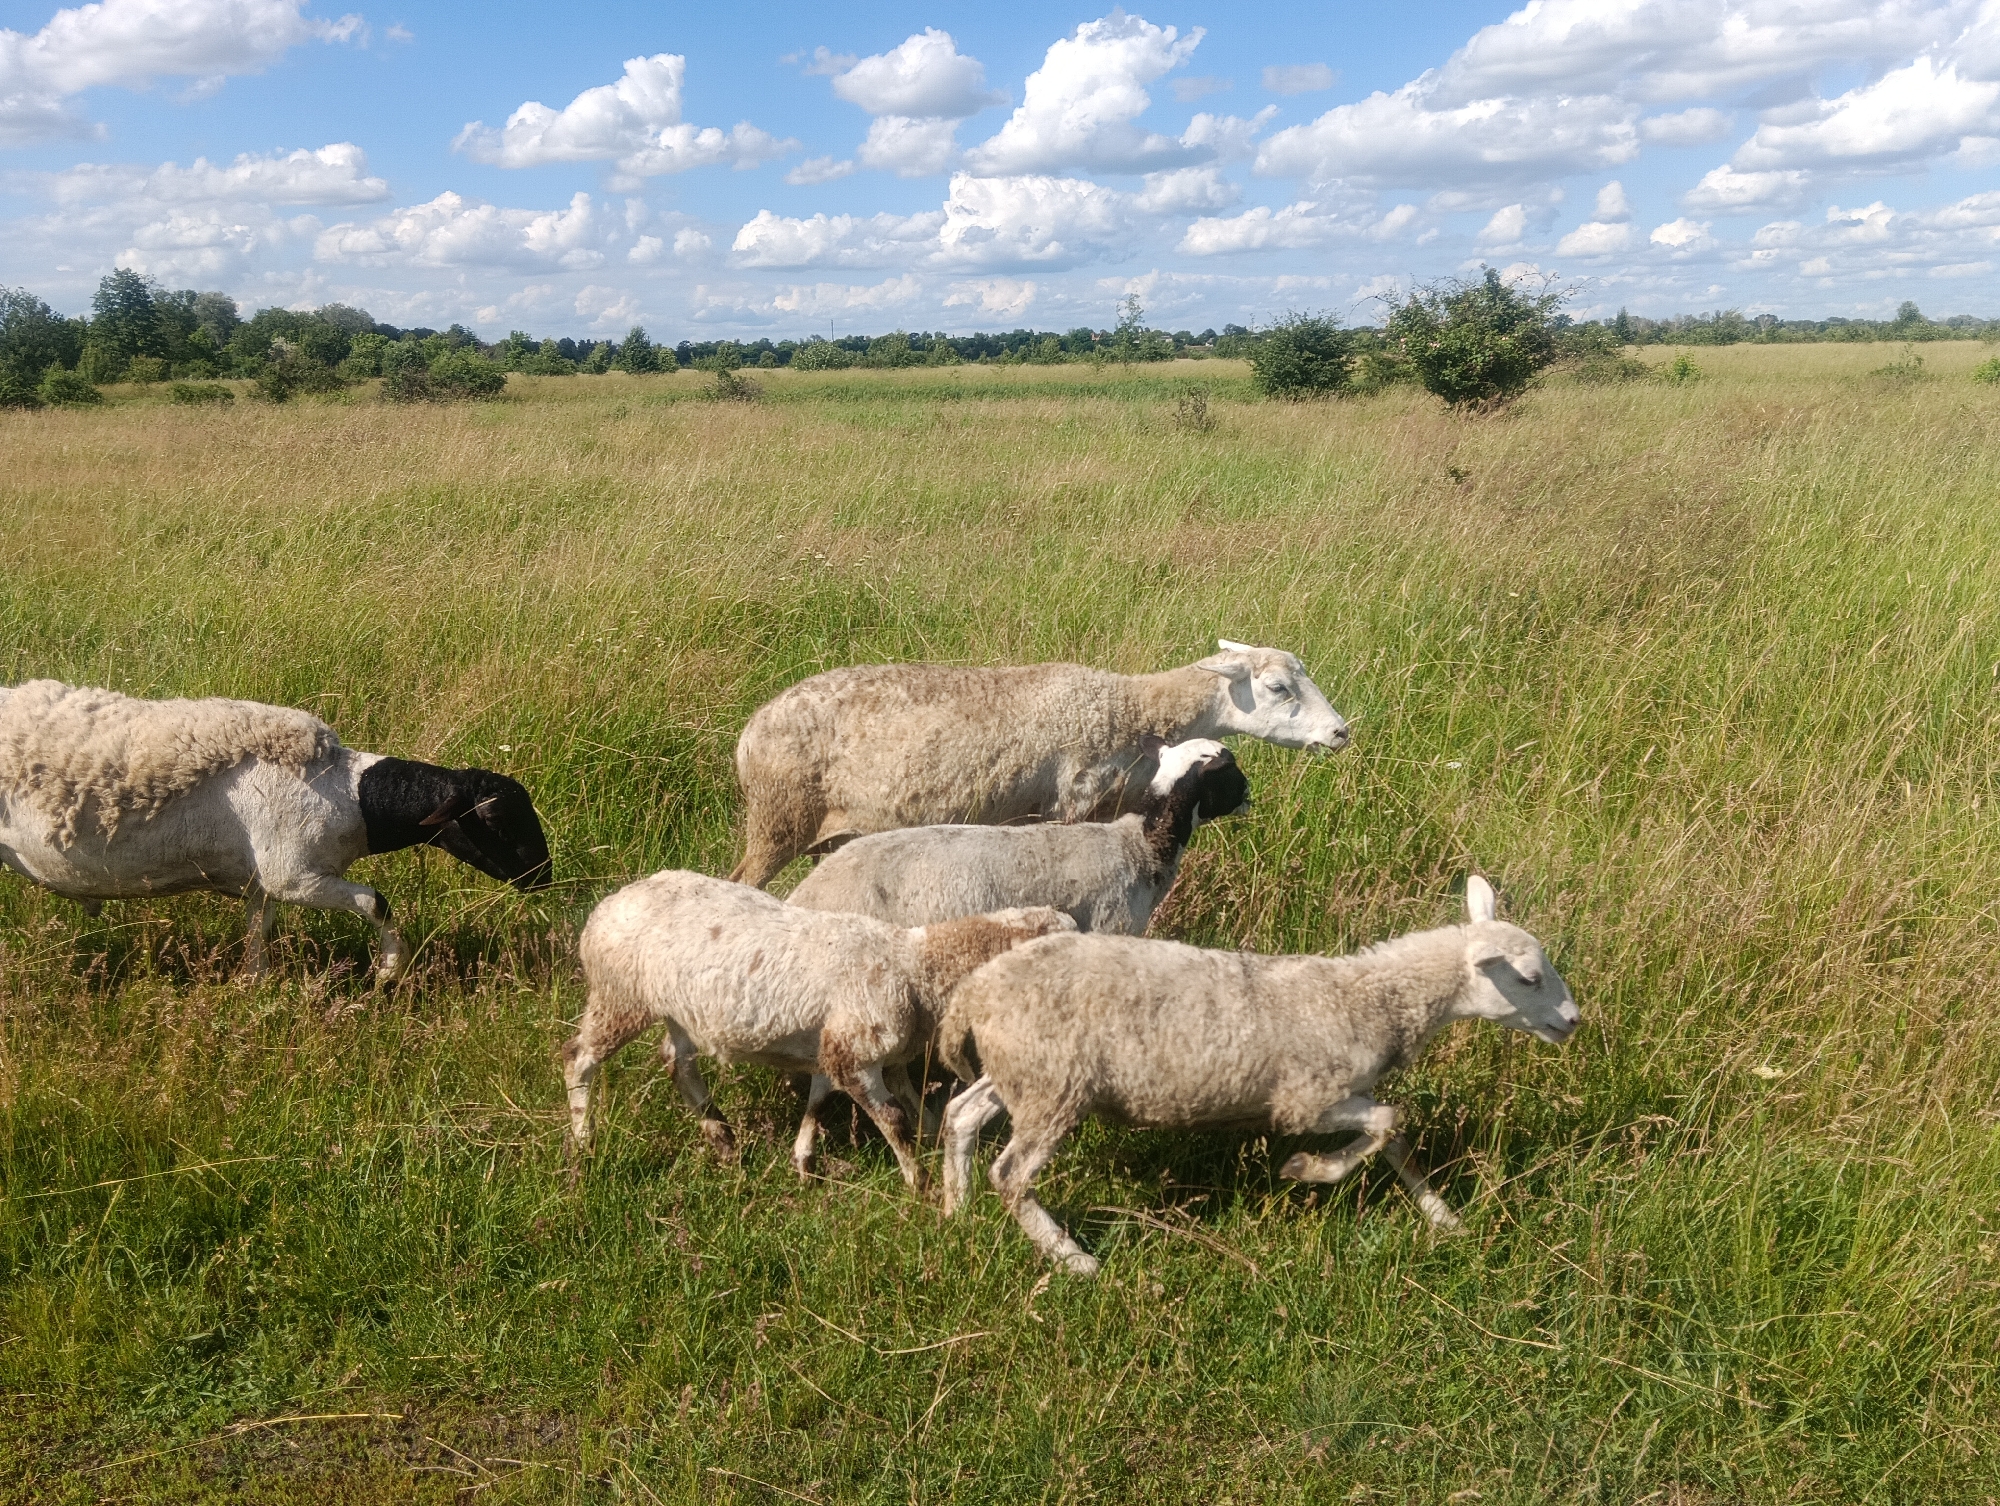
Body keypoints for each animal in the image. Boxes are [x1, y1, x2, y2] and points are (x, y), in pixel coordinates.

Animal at [0, 680, 552, 983]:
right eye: (495, 819)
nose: (544, 878)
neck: (351, 795)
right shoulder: (296, 877)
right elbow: (377, 903)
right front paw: (388, 972)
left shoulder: (261, 884)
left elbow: (257, 931)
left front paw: (254, 985)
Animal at [561, 869, 1073, 1191]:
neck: (916, 968)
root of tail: (606, 906)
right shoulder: (855, 1053)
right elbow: (893, 1119)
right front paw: (920, 1184)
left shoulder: (834, 1047)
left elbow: (821, 1101)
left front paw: (804, 1164)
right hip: (620, 995)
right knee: (578, 1058)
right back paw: (583, 1144)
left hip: (678, 1009)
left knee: (676, 1061)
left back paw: (722, 1137)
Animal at [728, 640, 1348, 889]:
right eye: (1277, 688)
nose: (1341, 732)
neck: (1133, 708)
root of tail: (749, 732)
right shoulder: (1071, 808)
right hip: (777, 822)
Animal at [936, 876, 1579, 1275]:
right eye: (1528, 978)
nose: (1573, 1020)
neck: (1372, 999)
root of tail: (975, 992)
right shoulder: (1305, 1099)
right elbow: (1387, 1121)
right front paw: (1308, 1169)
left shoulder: (1352, 1088)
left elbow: (1394, 1137)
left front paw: (1442, 1217)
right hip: (1054, 1088)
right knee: (1011, 1174)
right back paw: (1073, 1259)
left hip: (1021, 1074)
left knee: (960, 1113)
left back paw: (954, 1209)